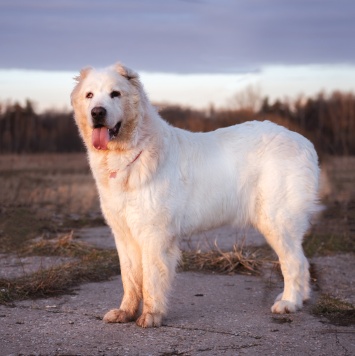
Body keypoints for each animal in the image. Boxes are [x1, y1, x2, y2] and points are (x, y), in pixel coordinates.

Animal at [71, 63, 322, 328]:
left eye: (115, 94)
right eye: (89, 95)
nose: (97, 112)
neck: (131, 153)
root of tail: (304, 142)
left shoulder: (154, 235)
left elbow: (151, 279)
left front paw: (151, 315)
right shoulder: (124, 235)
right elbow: (130, 279)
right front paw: (125, 312)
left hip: (277, 221)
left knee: (295, 262)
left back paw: (289, 302)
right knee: (302, 262)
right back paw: (297, 298)